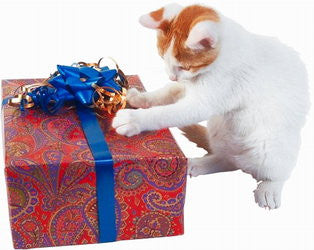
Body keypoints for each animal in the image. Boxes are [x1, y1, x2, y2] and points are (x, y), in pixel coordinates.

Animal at [112, 3, 310, 209]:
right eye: (162, 57)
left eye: (185, 66)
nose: (172, 76)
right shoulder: (185, 86)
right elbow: (166, 93)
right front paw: (139, 98)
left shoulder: (206, 100)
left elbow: (166, 113)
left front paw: (134, 120)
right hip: (219, 131)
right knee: (229, 160)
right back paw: (199, 164)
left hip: (268, 146)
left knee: (278, 171)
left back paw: (269, 188)